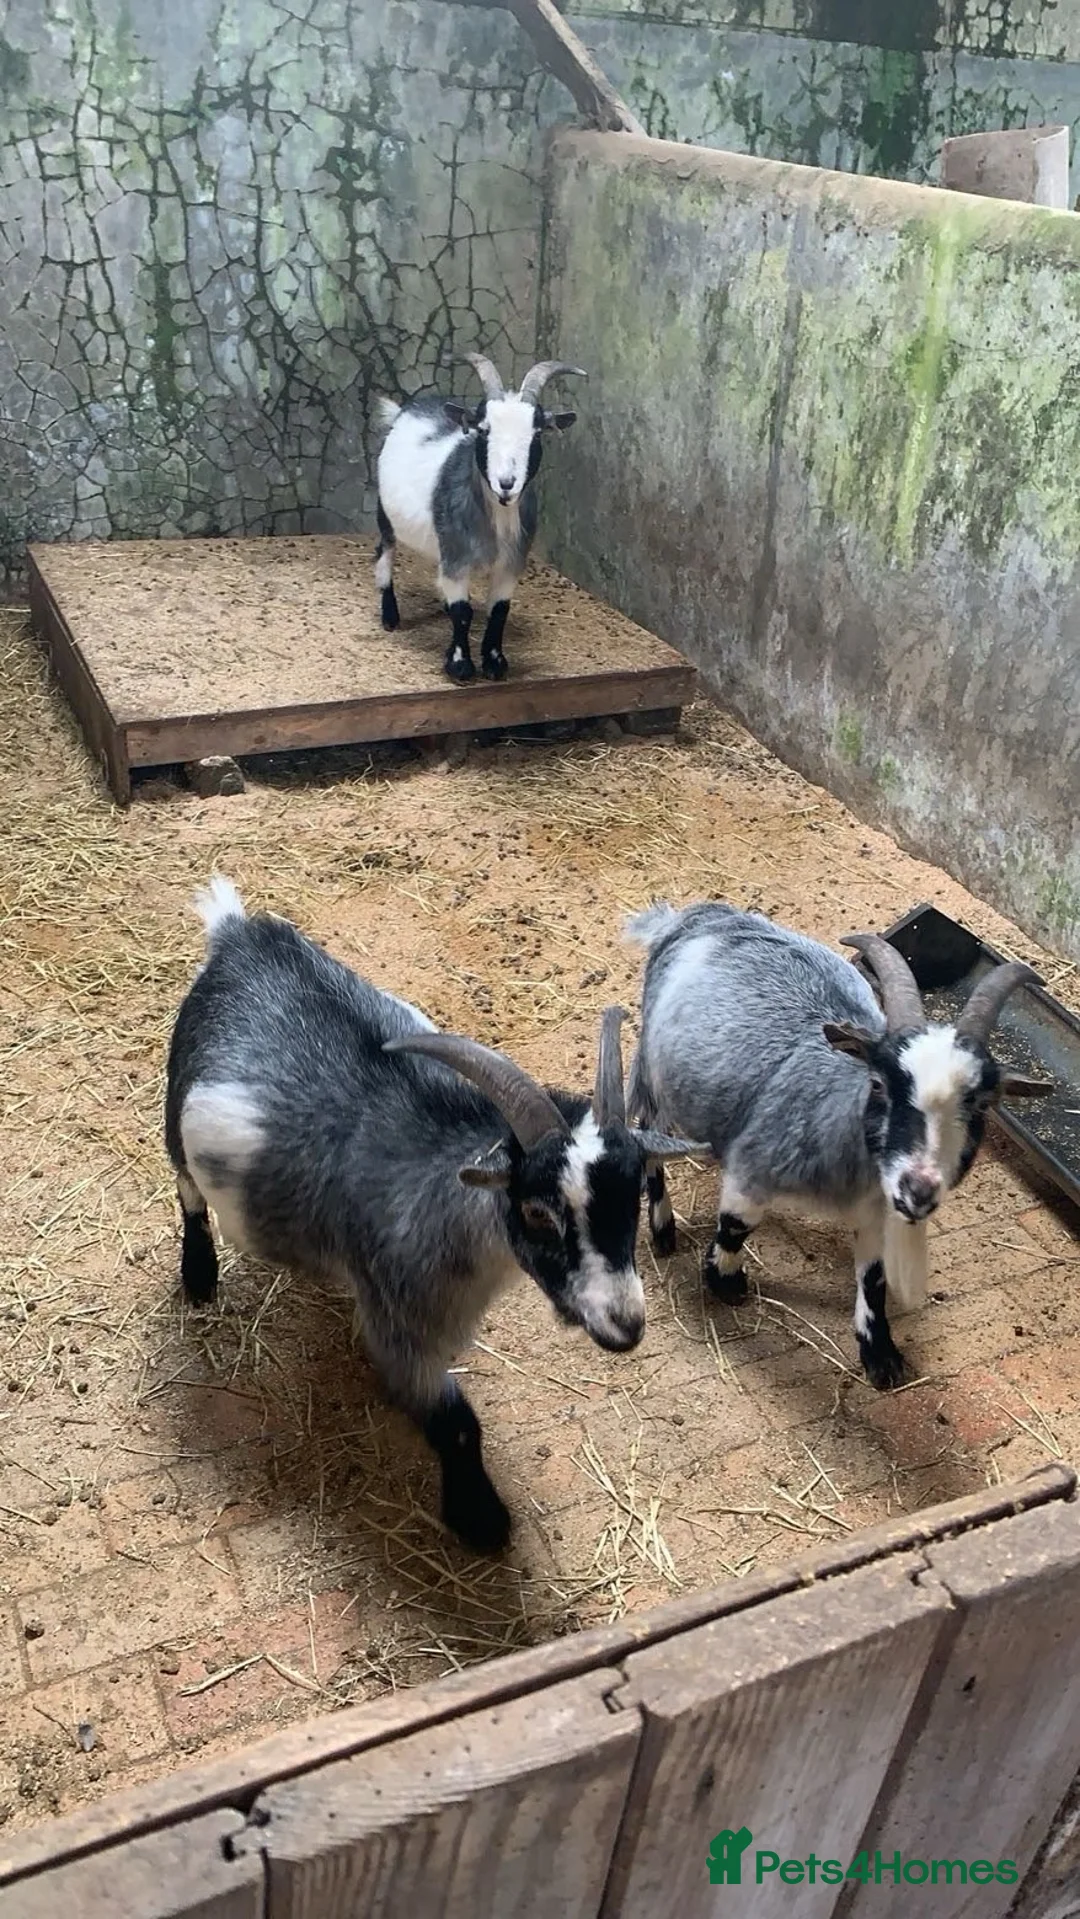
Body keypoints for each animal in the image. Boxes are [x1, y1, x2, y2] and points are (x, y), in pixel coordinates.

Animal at [165, 878, 703, 1553]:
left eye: (631, 1197)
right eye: (535, 1210)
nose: (625, 1325)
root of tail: (239, 936)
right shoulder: (401, 1321)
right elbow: (457, 1424)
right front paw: (482, 1520)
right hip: (177, 1098)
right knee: (186, 1188)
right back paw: (199, 1275)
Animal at [374, 352, 585, 685]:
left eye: (537, 433)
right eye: (484, 430)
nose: (507, 483)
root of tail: (405, 410)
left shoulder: (510, 563)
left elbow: (498, 611)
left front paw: (495, 662)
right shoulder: (457, 557)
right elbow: (462, 612)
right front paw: (460, 666)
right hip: (384, 511)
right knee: (384, 551)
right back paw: (390, 617)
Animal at [625, 902, 1051, 1389]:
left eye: (980, 1104)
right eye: (879, 1083)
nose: (918, 1189)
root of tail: (699, 914)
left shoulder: (878, 1213)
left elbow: (874, 1277)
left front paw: (880, 1355)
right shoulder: (754, 1169)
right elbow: (736, 1226)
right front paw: (725, 1281)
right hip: (654, 1072)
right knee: (647, 1131)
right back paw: (663, 1228)